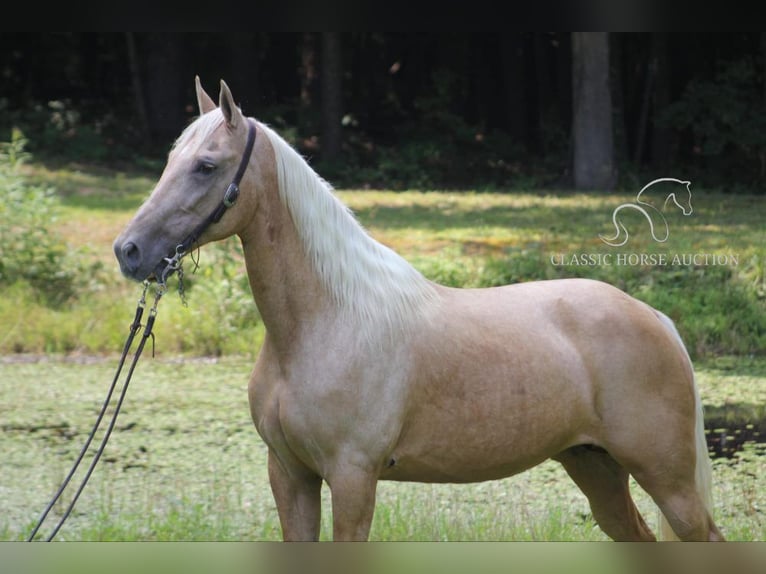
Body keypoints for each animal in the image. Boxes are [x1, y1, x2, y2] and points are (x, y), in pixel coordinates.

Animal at [115, 79, 728, 544]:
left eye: (206, 166)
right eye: (171, 160)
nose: (129, 251)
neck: (325, 322)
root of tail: (658, 320)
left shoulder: (353, 479)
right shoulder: (290, 475)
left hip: (670, 485)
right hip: (595, 467)